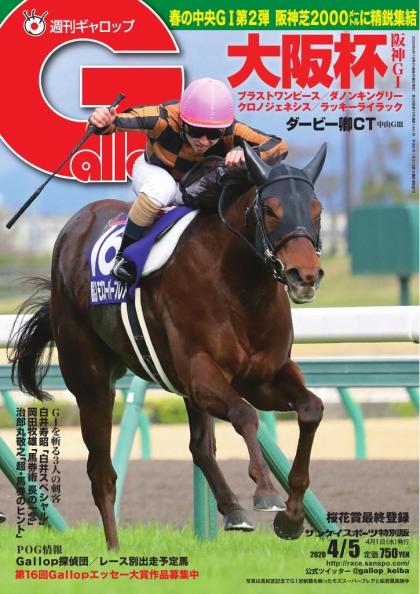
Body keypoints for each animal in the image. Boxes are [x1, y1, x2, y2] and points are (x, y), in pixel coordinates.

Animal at [9, 141, 326, 550]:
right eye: (271, 209)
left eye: (317, 209)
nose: (304, 275)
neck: (240, 288)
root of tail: (74, 224)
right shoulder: (201, 373)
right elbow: (244, 415)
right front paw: (266, 492)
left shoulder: (263, 376)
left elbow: (311, 410)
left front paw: (291, 517)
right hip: (90, 380)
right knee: (102, 473)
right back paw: (114, 548)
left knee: (200, 448)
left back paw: (232, 510)